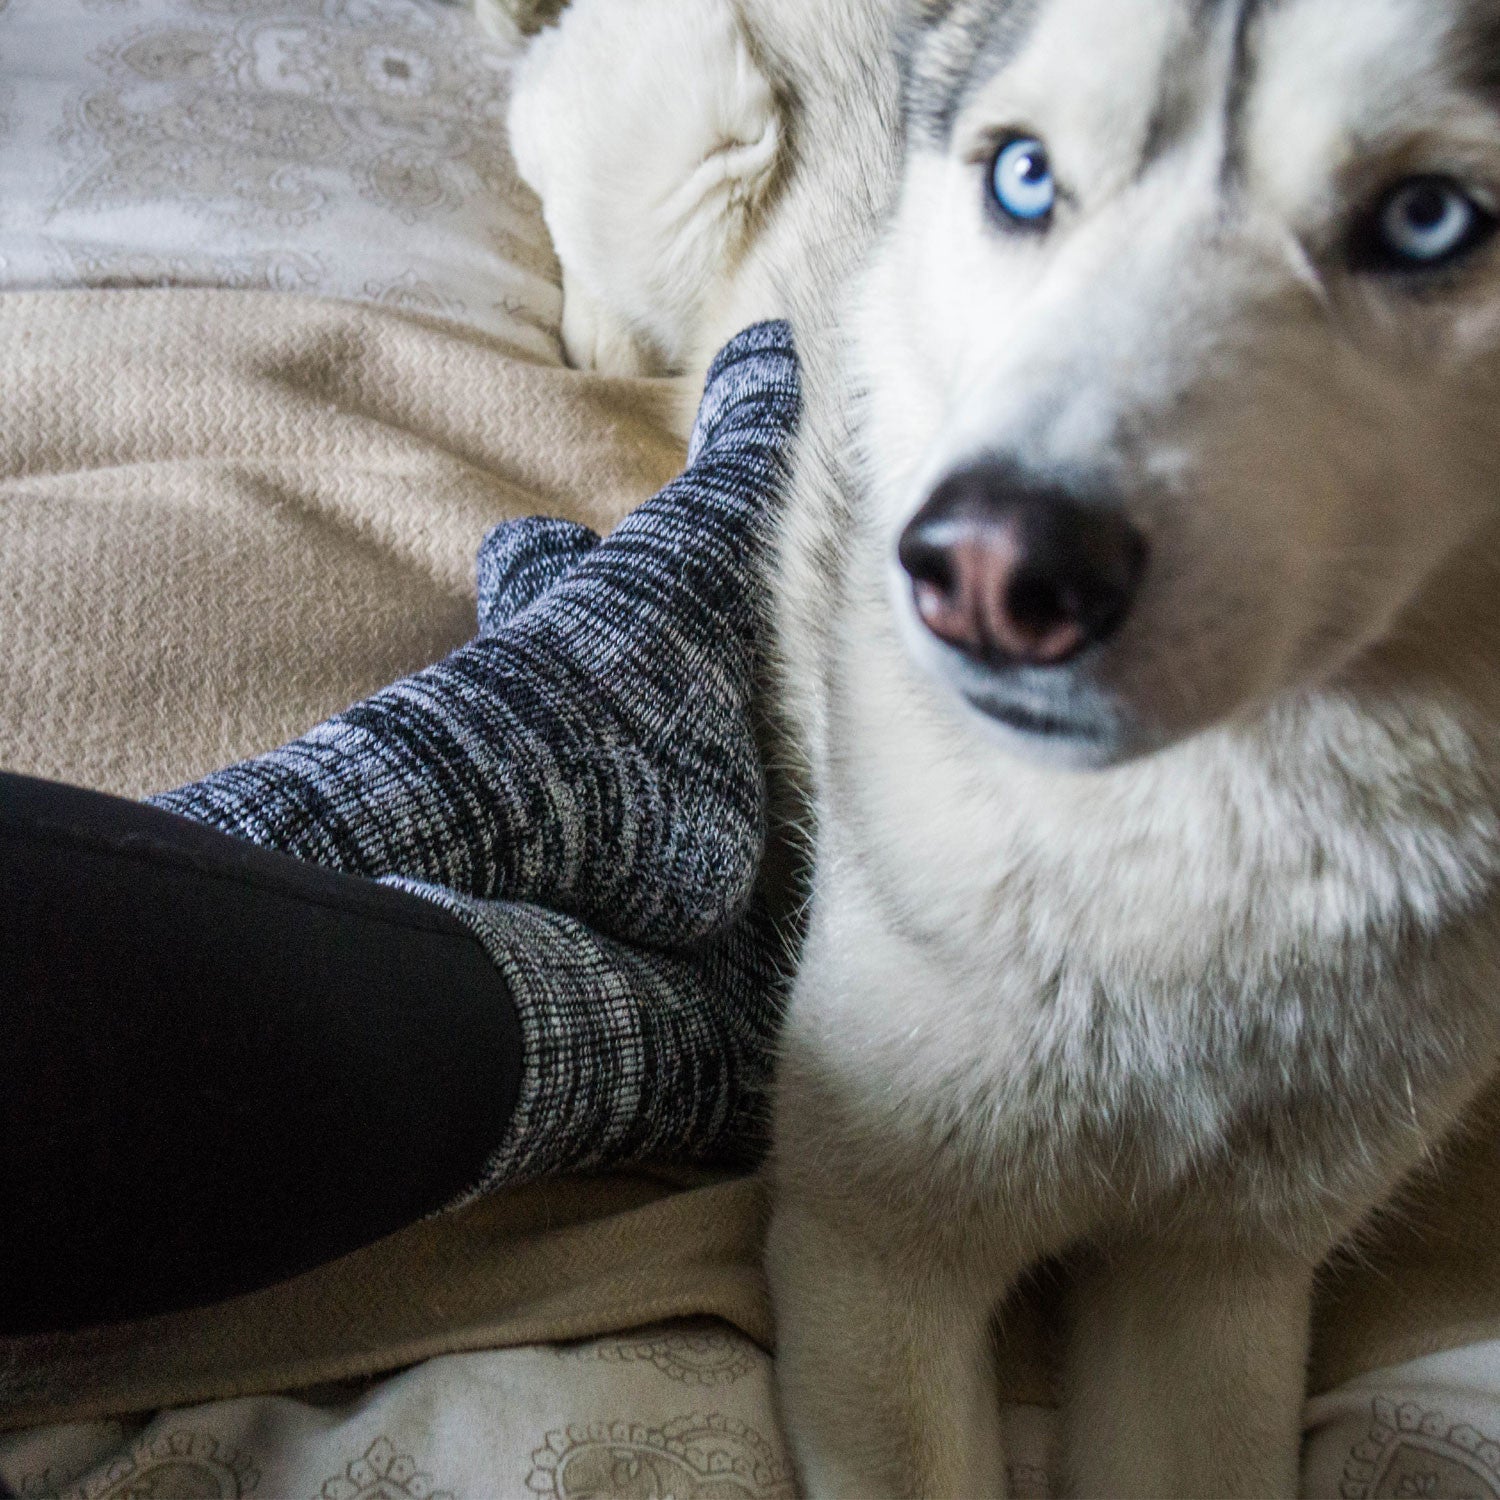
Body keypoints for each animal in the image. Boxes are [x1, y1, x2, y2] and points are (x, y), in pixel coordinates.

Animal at [494, 0, 1500, 1493]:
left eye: (1431, 218)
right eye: (1026, 178)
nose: (988, 569)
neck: (1197, 869)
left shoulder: (1220, 1283)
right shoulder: (874, 1257)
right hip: (697, 145)